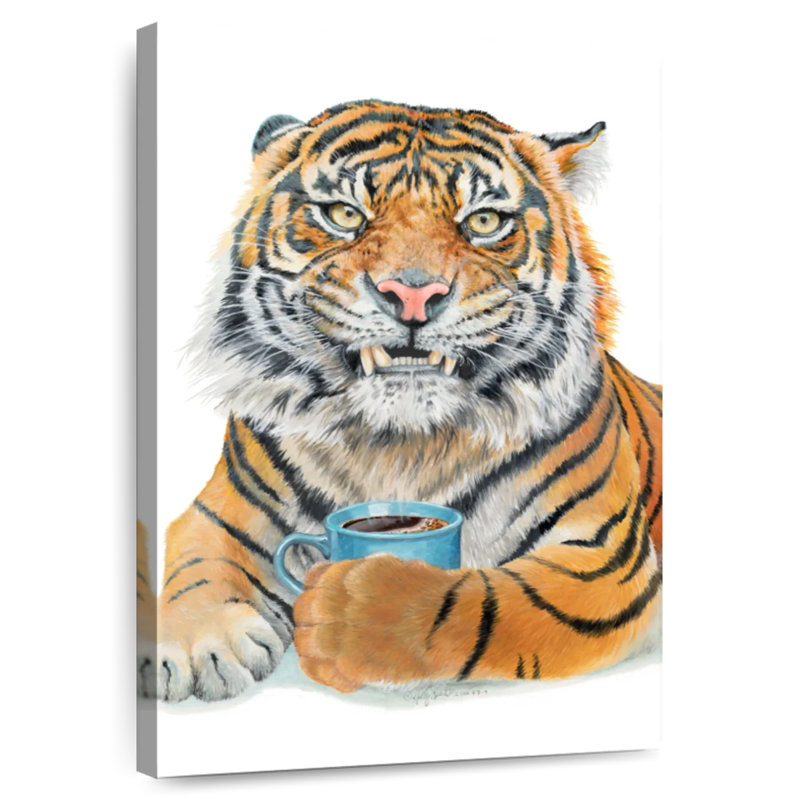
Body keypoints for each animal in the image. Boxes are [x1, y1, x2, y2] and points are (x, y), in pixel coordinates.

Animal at [138, 99, 662, 702]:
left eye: (484, 222)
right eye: (344, 215)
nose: (413, 294)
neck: (399, 444)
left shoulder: (602, 556)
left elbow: (475, 603)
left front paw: (347, 612)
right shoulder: (222, 509)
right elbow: (197, 559)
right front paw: (196, 644)